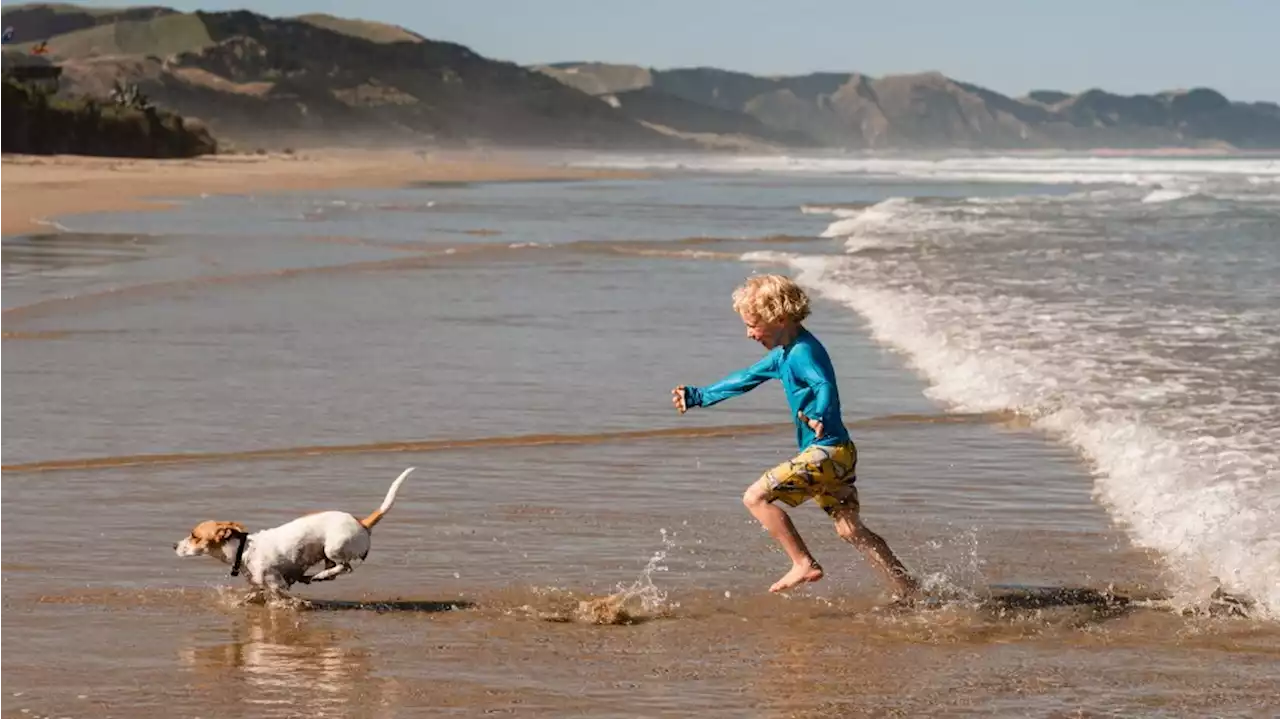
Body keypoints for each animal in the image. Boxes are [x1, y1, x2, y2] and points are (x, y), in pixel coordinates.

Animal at [174, 460, 414, 591]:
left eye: (194, 535)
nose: (174, 545)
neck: (243, 550)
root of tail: (361, 522)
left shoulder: (276, 585)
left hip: (333, 548)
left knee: (344, 568)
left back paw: (318, 576)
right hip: (326, 553)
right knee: (334, 571)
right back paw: (313, 576)